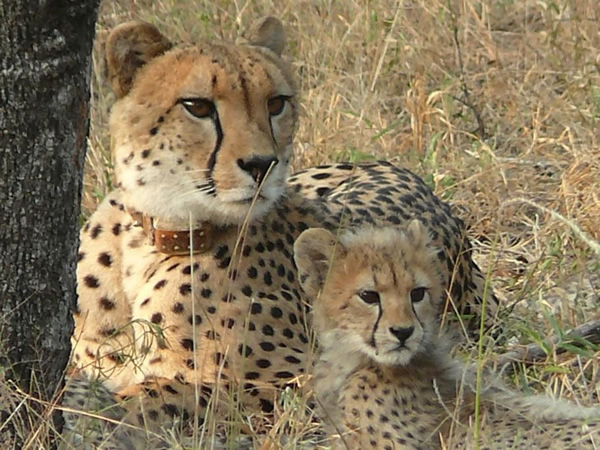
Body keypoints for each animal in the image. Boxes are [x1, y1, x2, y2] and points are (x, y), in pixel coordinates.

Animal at [62, 15, 502, 444]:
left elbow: (176, 394)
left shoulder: (306, 383)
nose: (261, 164)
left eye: (276, 103)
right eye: (197, 106)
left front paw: (91, 408)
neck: (157, 235)